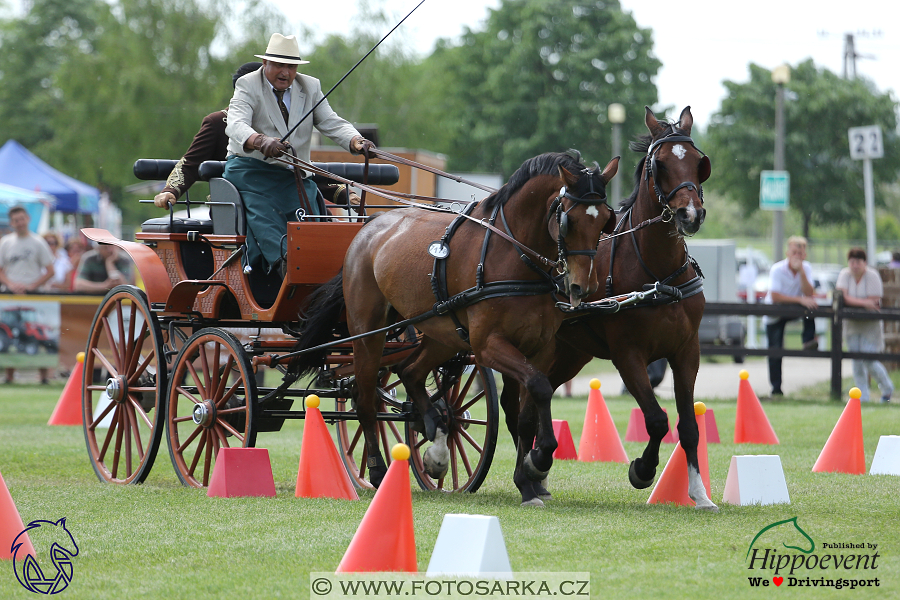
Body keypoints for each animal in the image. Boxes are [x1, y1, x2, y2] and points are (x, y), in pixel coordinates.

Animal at [296, 150, 620, 496]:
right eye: (568, 220)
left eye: (605, 219)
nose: (583, 287)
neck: (515, 256)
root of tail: (367, 228)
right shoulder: (488, 345)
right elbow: (539, 387)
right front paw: (539, 460)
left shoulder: (541, 348)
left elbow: (530, 406)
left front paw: (530, 477)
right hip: (368, 333)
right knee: (366, 400)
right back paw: (379, 470)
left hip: (442, 334)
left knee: (410, 372)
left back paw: (435, 440)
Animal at [500, 105, 716, 508]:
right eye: (660, 164)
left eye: (699, 163)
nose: (689, 215)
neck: (657, 272)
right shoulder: (627, 354)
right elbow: (656, 420)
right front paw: (642, 470)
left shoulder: (686, 351)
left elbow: (689, 425)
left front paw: (699, 492)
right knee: (521, 411)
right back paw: (529, 473)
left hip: (567, 354)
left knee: (534, 402)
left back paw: (536, 476)